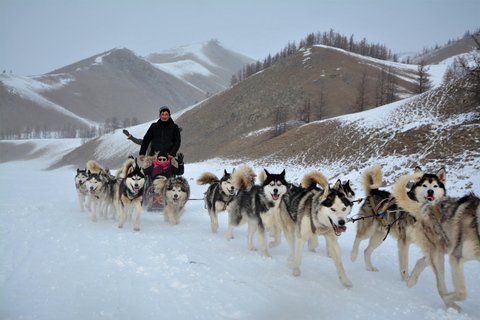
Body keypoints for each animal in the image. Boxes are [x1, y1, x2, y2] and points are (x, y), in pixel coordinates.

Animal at [394, 172, 480, 310]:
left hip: (442, 247)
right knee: (440, 285)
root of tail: (425, 206)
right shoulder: (456, 257)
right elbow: (461, 292)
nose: (430, 191)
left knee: (422, 261)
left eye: (435, 186)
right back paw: (450, 304)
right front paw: (450, 297)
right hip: (438, 252)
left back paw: (411, 281)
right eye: (424, 185)